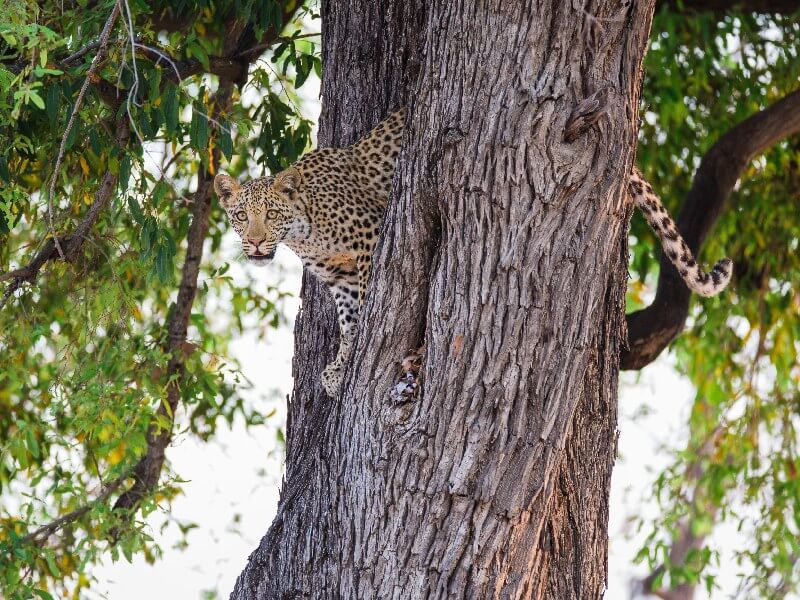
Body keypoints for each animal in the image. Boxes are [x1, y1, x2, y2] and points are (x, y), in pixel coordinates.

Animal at [214, 108, 732, 398]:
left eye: (270, 214)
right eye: (240, 215)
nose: (255, 242)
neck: (303, 232)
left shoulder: (369, 241)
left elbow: (362, 311)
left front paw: (350, 360)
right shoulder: (337, 277)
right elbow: (345, 322)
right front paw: (340, 367)